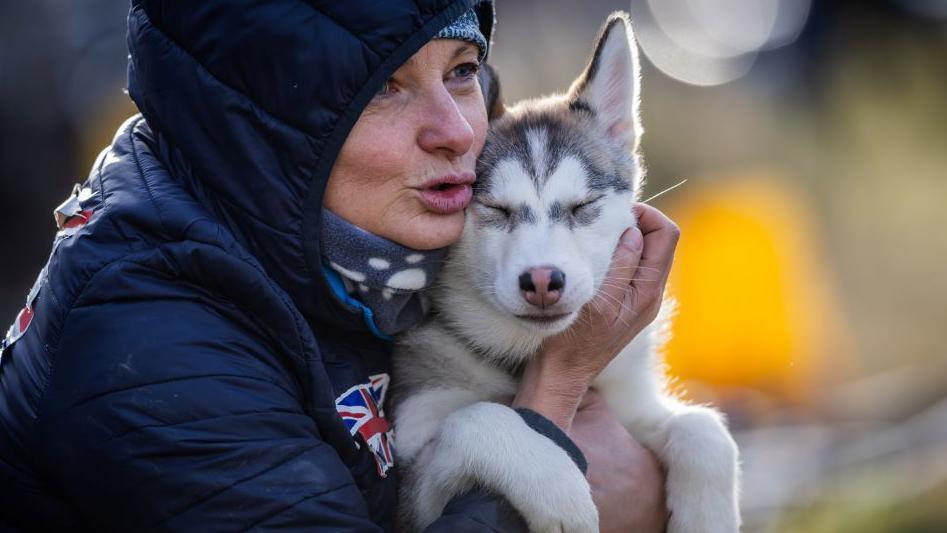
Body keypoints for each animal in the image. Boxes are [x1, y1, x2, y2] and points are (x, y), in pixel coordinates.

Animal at [390, 12, 740, 532]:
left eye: (583, 205)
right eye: (495, 209)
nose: (542, 282)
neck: (521, 355)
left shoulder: (633, 409)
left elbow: (702, 426)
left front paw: (707, 515)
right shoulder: (410, 479)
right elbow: (474, 417)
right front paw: (559, 492)